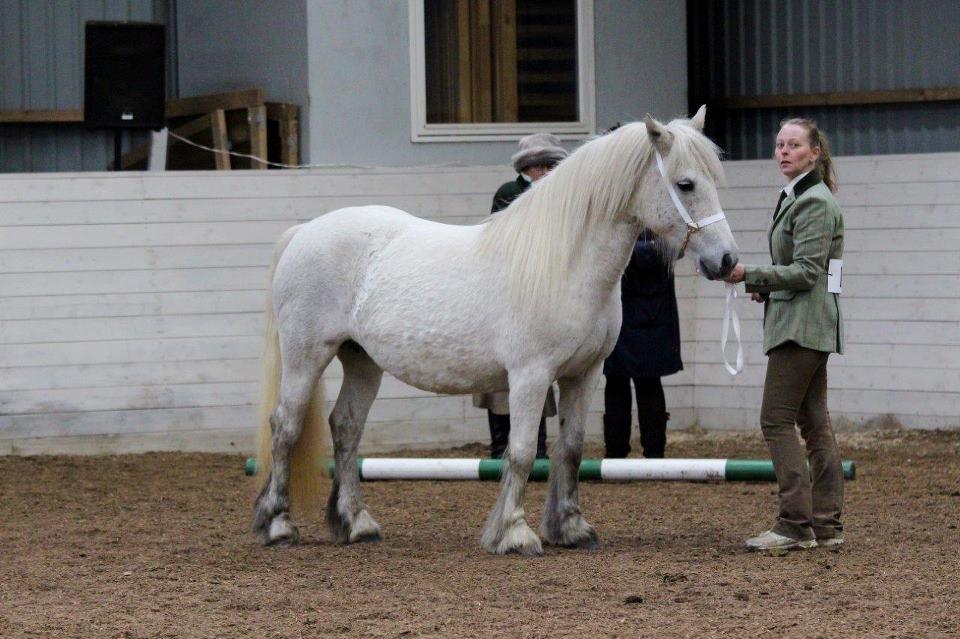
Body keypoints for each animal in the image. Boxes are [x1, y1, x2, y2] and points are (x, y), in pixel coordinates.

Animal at [253, 106, 736, 556]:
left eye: (716, 178)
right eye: (686, 184)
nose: (728, 260)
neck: (564, 262)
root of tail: (304, 231)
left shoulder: (584, 374)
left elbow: (572, 447)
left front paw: (570, 528)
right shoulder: (530, 377)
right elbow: (520, 452)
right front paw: (515, 533)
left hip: (362, 360)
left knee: (346, 427)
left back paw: (356, 523)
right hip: (306, 356)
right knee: (286, 426)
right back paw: (278, 525)